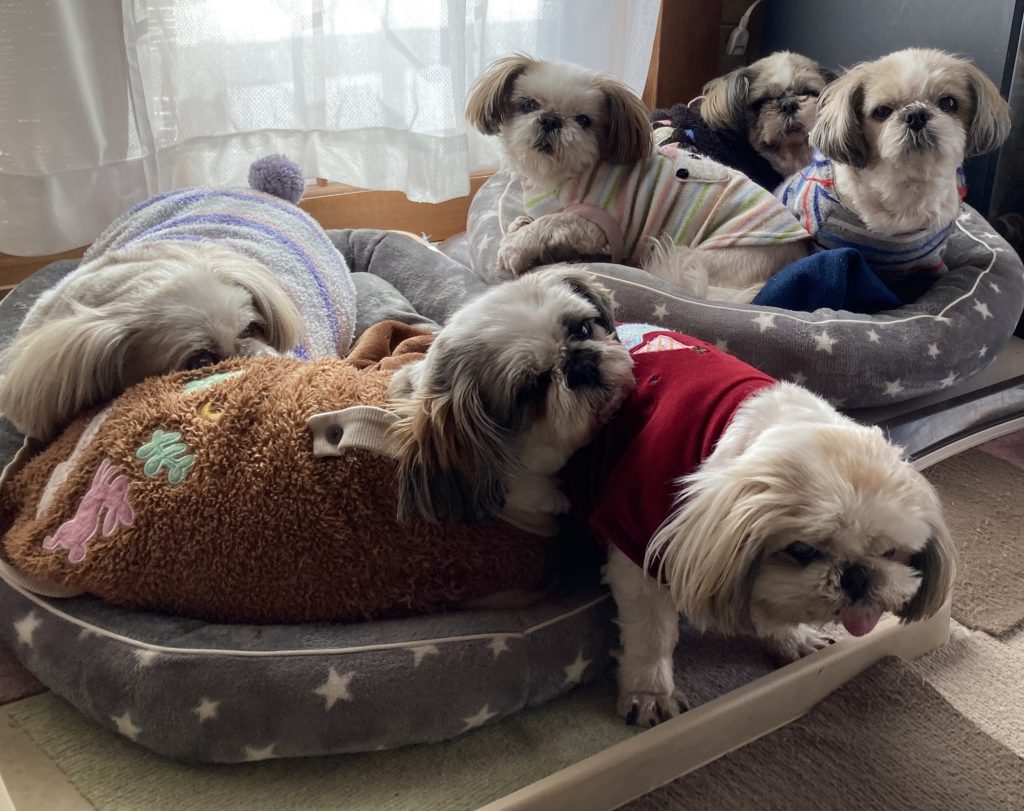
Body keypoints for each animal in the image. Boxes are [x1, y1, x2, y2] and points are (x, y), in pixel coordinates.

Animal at [391, 271, 956, 726]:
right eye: (801, 551)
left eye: (893, 554)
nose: (858, 578)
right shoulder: (641, 550)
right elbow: (652, 634)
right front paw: (649, 692)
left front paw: (789, 637)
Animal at [465, 54, 809, 302]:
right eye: (528, 105)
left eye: (584, 120)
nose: (550, 120)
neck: (558, 177)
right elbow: (531, 222)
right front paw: (520, 225)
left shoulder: (593, 223)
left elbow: (551, 223)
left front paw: (515, 246)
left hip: (700, 259)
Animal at [778, 48, 1011, 285]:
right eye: (882, 111)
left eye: (949, 103)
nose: (916, 114)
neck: (908, 187)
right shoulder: (827, 245)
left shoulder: (931, 260)